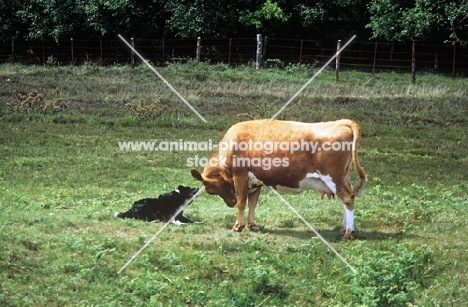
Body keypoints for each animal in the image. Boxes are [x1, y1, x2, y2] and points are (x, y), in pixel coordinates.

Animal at [190, 119, 366, 239]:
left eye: (212, 189)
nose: (230, 203)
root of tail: (342, 122)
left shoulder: (240, 176)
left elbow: (242, 202)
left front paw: (237, 226)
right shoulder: (256, 182)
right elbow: (252, 203)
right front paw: (249, 225)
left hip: (333, 176)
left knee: (347, 197)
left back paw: (348, 232)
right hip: (343, 176)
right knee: (346, 199)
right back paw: (344, 228)